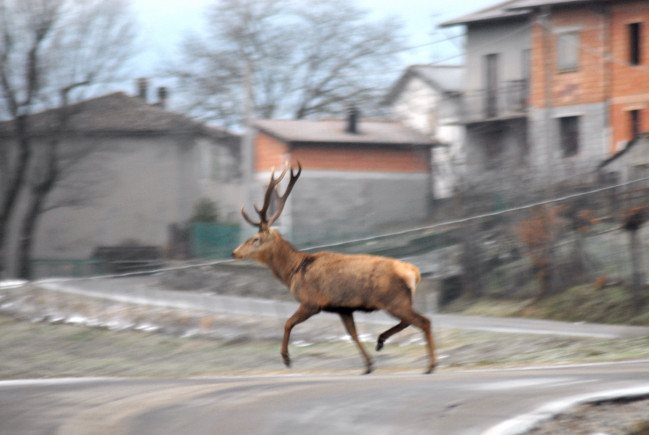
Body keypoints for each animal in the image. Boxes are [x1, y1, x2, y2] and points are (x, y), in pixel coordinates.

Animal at [233, 164, 436, 374]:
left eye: (256, 239)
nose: (234, 252)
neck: (294, 271)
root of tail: (414, 273)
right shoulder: (342, 308)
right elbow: (353, 333)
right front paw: (368, 365)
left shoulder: (312, 301)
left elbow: (288, 323)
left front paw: (286, 358)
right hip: (399, 300)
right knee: (410, 321)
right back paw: (380, 341)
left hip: (394, 299)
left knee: (424, 321)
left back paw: (430, 365)